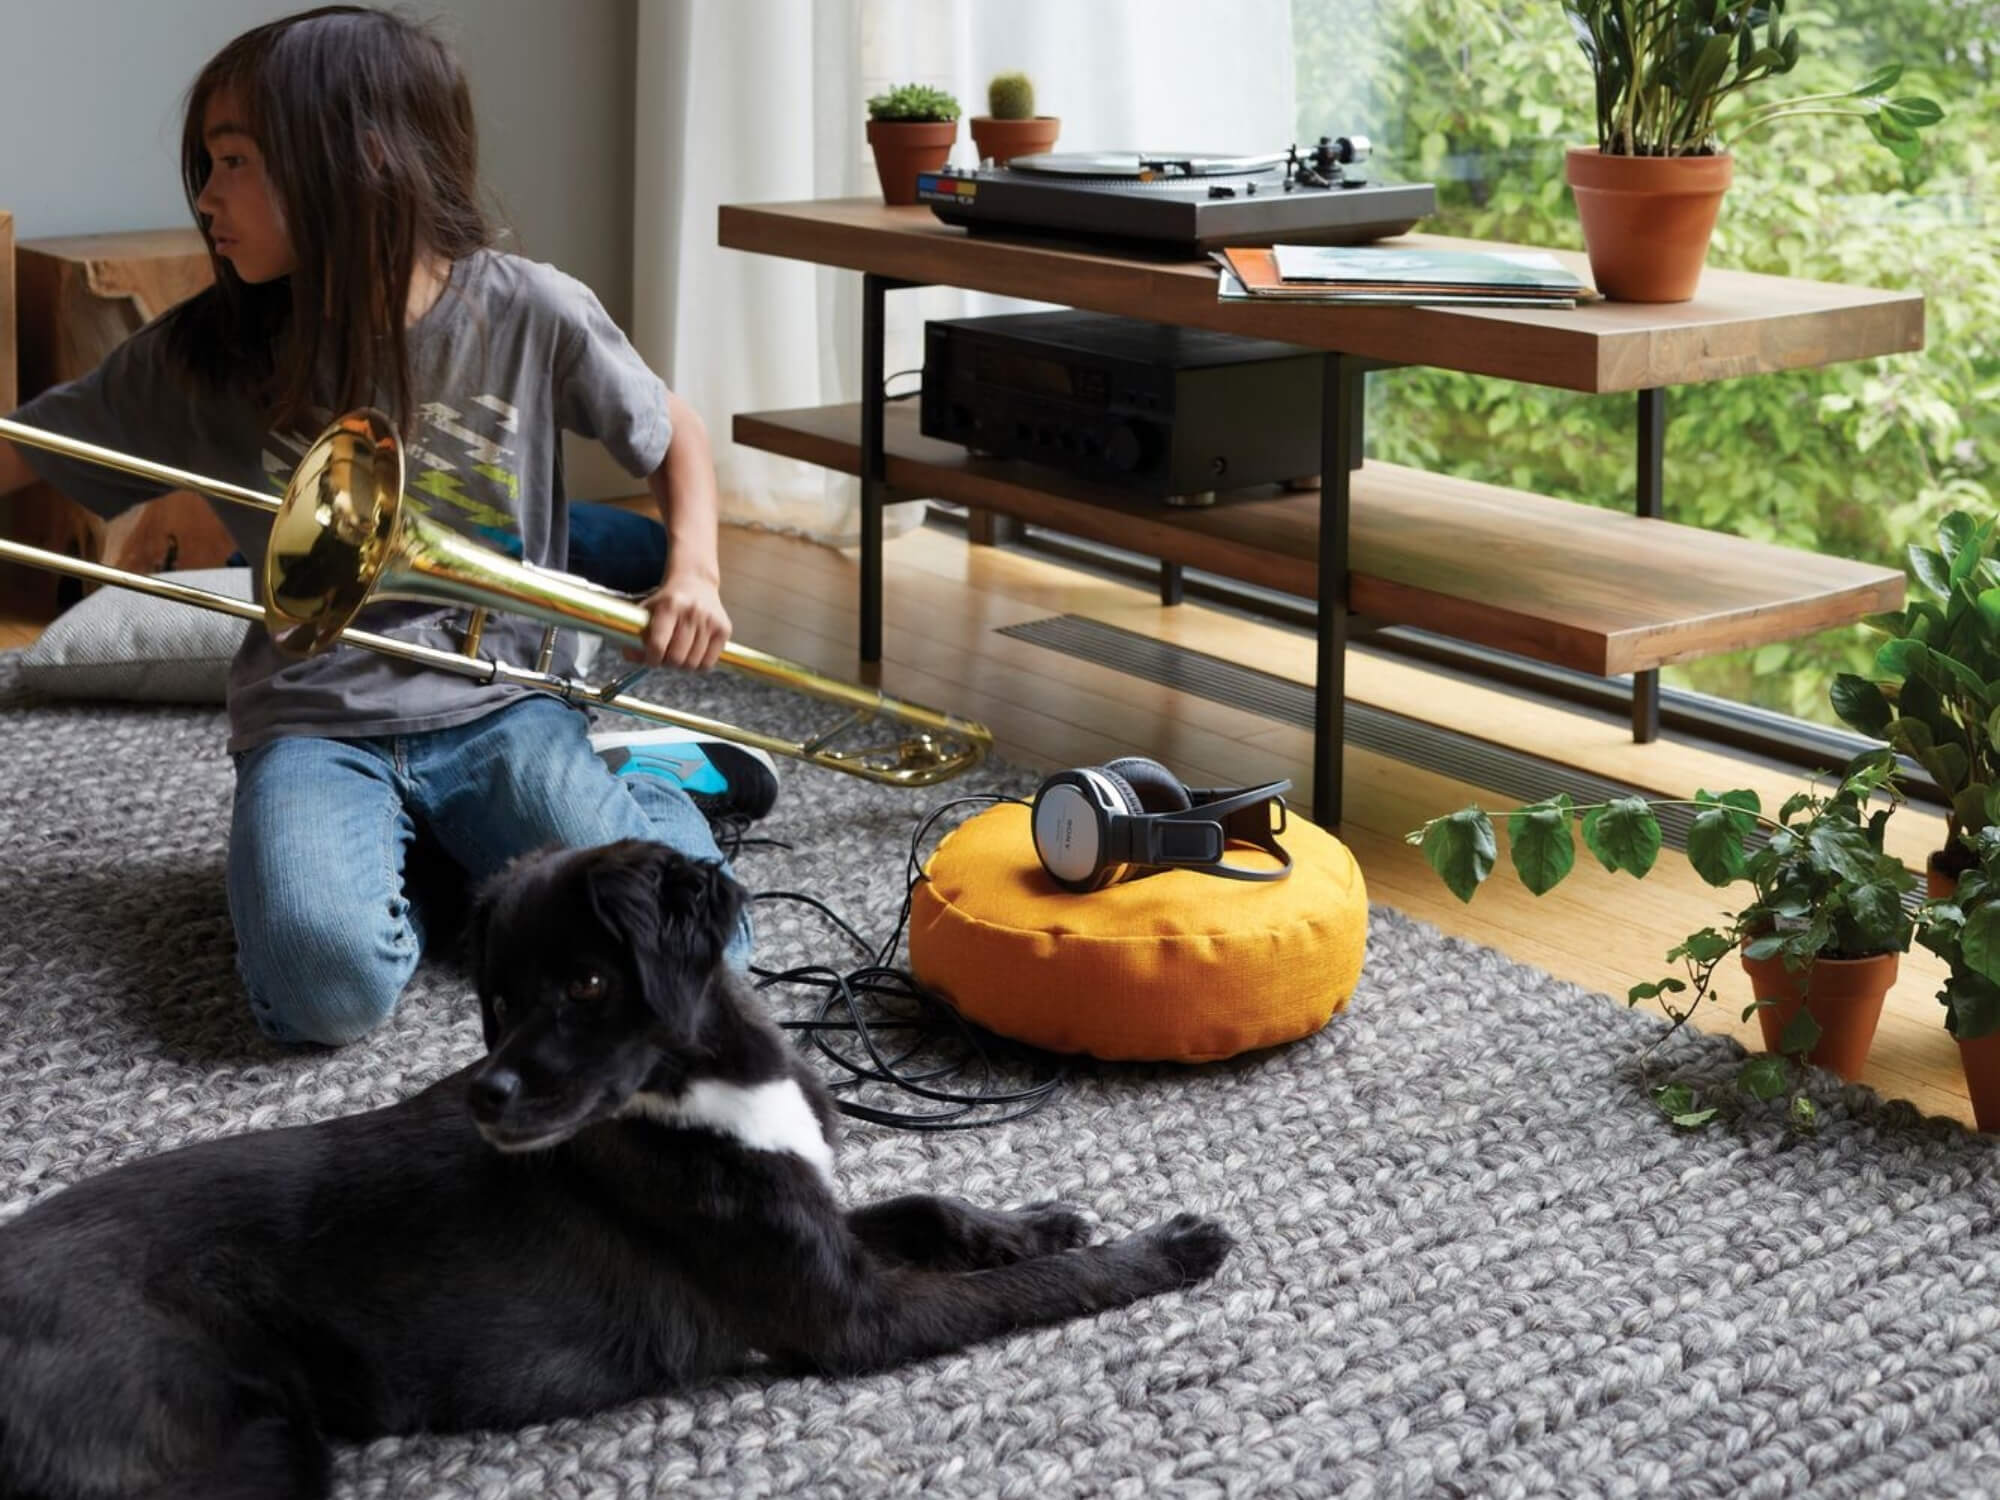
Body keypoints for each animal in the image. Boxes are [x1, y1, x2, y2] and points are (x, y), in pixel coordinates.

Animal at [0, 840, 1232, 1496]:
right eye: (495, 1000)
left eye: (589, 984)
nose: (486, 1097)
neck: (704, 1085)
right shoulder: (853, 1319)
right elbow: (1033, 1293)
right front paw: (1169, 1249)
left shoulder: (816, 1229)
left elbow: (931, 1203)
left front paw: (1043, 1219)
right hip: (241, 1445)